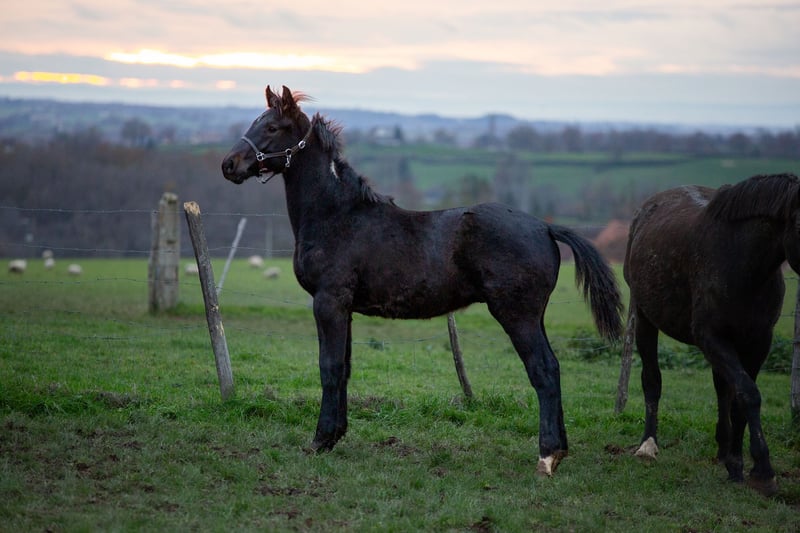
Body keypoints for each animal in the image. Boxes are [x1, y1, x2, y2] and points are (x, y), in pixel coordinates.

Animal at [221, 86, 623, 476]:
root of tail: (544, 227)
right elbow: (345, 368)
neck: (338, 216)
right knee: (553, 367)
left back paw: (547, 456)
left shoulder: (328, 303)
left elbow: (329, 367)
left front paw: (320, 441)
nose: (229, 165)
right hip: (534, 316)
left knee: (543, 370)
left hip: (517, 315)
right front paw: (336, 435)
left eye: (273, 127)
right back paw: (560, 451)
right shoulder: (344, 309)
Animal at [623, 174, 800, 496]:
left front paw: (738, 464)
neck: (742, 264)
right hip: (644, 318)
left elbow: (741, 398)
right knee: (652, 380)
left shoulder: (758, 342)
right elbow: (748, 394)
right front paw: (762, 471)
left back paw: (723, 449)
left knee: (721, 388)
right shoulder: (711, 338)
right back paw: (647, 445)